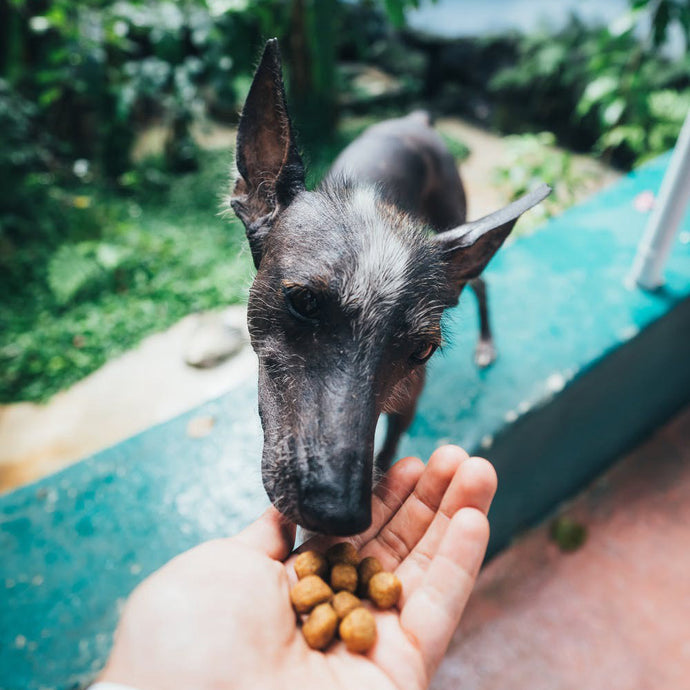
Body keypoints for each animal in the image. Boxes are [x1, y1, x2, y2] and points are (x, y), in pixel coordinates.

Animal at [231, 39, 548, 536]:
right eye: (304, 301)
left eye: (422, 350)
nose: (339, 513)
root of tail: (416, 121)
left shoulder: (408, 401)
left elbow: (389, 448)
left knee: (479, 284)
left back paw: (486, 343)